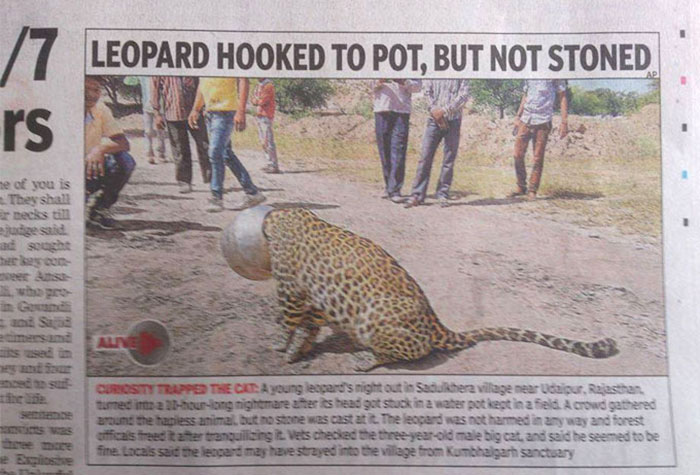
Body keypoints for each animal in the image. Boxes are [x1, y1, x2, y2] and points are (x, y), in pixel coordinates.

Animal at [261, 207, 618, 372]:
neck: (284, 216)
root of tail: (436, 322)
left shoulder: (290, 290)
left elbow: (290, 323)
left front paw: (281, 346)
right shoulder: (312, 298)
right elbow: (308, 326)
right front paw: (298, 350)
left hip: (375, 317)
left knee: (411, 350)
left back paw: (366, 360)